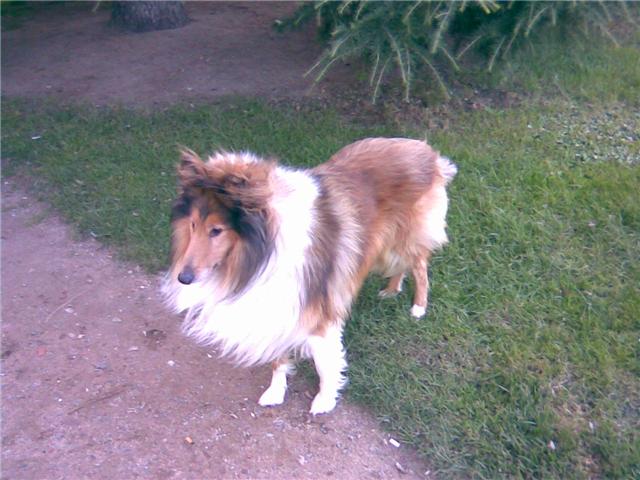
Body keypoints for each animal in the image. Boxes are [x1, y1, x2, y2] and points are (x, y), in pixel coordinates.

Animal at [164, 138, 456, 412]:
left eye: (217, 230)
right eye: (193, 224)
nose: (183, 278)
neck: (264, 250)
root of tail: (425, 150)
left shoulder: (316, 308)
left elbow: (325, 364)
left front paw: (324, 400)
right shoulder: (277, 306)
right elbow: (278, 358)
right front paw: (276, 392)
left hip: (406, 238)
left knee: (419, 267)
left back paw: (418, 307)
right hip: (383, 245)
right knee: (401, 267)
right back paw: (391, 290)